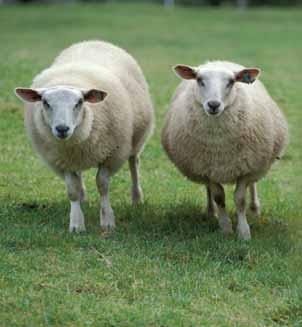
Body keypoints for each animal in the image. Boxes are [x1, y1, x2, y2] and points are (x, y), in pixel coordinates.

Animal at [15, 40, 155, 233]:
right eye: (45, 102)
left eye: (79, 102)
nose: (62, 128)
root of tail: (93, 41)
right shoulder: (61, 161)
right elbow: (72, 190)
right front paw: (76, 223)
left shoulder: (112, 155)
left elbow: (102, 185)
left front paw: (107, 220)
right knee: (79, 175)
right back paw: (83, 196)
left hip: (136, 139)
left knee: (134, 163)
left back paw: (136, 198)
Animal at [162, 61, 290, 241]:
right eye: (199, 80)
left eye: (231, 82)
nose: (213, 105)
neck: (219, 146)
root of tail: (217, 61)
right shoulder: (207, 168)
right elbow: (219, 197)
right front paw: (225, 228)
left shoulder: (245, 167)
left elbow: (240, 199)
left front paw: (243, 232)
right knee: (210, 191)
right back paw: (211, 211)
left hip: (256, 161)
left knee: (253, 184)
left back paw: (255, 209)